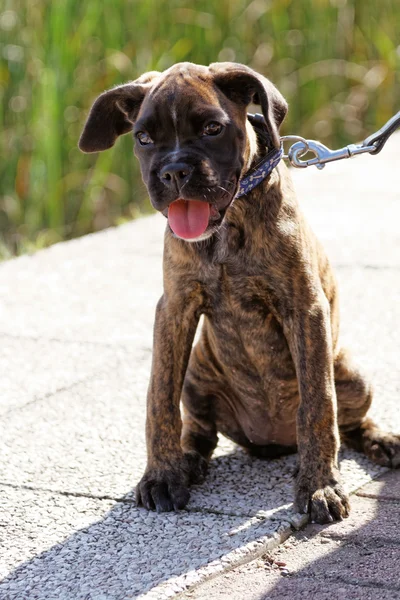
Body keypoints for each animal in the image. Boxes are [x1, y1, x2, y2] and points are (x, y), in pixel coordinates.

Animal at [79, 59, 400, 520]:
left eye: (213, 128)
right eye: (143, 138)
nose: (174, 172)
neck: (230, 223)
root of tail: (271, 443)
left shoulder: (305, 308)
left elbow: (318, 404)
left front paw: (319, 485)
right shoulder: (175, 308)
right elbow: (159, 397)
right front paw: (162, 475)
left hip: (353, 375)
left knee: (351, 422)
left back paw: (381, 440)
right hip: (198, 377)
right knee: (200, 432)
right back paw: (187, 461)